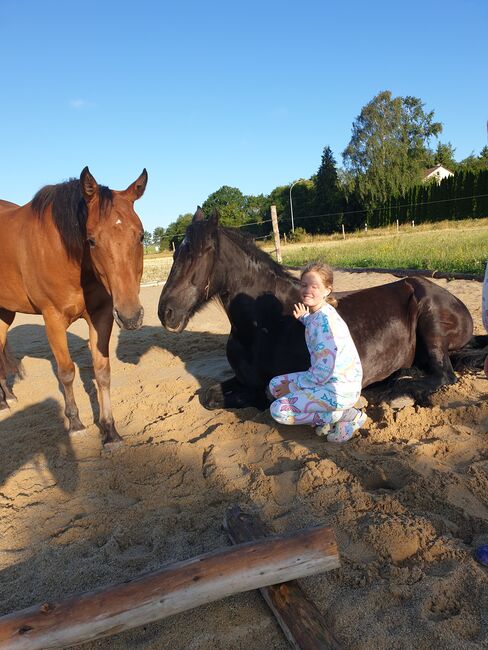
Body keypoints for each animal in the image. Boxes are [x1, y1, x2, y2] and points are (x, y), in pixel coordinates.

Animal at [0, 166, 148, 446]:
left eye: (141, 236)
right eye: (91, 240)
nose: (131, 317)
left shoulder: (101, 316)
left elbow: (102, 371)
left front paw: (110, 431)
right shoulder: (53, 319)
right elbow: (66, 372)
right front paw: (76, 423)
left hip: (4, 314)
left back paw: (7, 397)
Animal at [159, 210, 484, 408]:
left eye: (203, 252)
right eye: (176, 254)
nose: (166, 312)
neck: (264, 325)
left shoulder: (266, 386)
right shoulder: (241, 379)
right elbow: (208, 395)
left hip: (432, 326)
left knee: (444, 375)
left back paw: (395, 393)